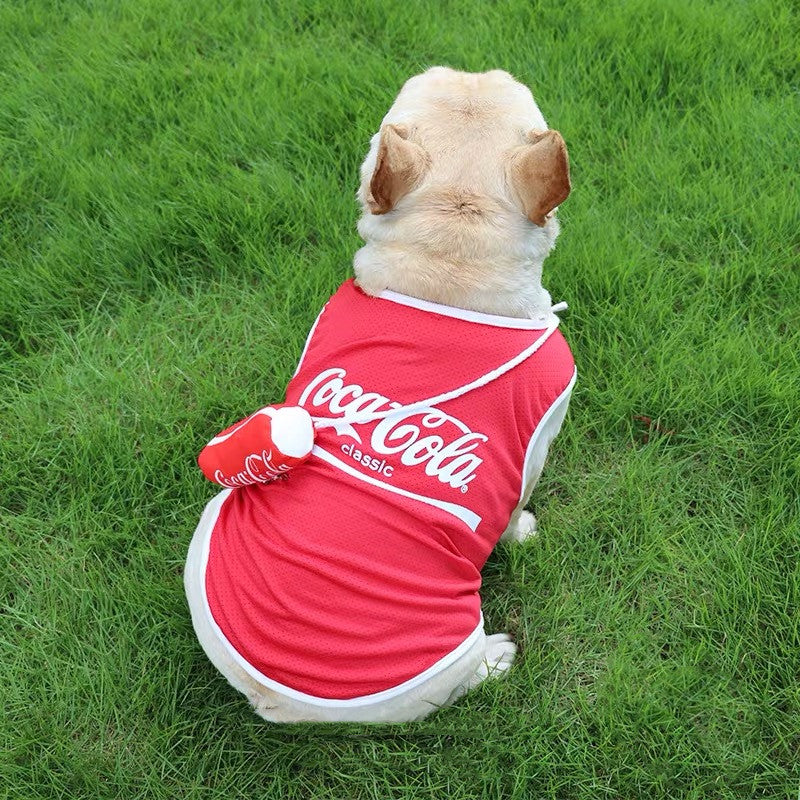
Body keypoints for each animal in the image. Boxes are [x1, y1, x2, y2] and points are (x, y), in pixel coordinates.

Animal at [184, 65, 576, 720]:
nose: (470, 66)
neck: (447, 271)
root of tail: (274, 701)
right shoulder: (540, 438)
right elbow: (515, 507)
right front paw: (522, 531)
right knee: (470, 676)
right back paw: (496, 659)